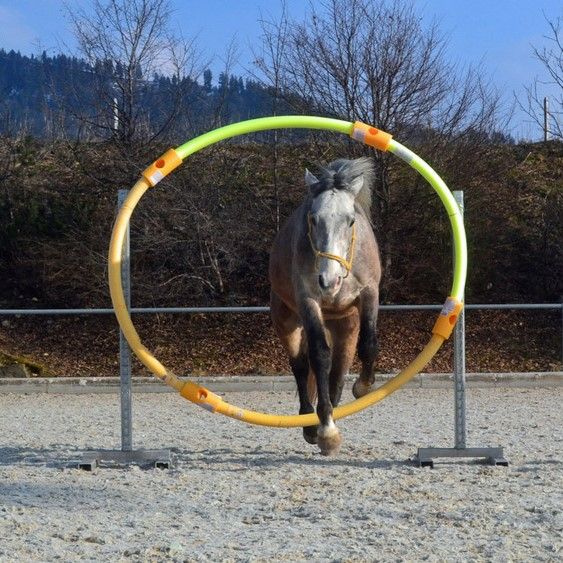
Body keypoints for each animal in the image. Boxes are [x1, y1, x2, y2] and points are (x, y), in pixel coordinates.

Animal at [270, 156, 384, 456]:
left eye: (351, 220)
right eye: (313, 218)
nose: (328, 281)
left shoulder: (370, 295)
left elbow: (369, 345)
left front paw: (363, 387)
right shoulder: (309, 303)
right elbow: (319, 357)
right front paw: (326, 431)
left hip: (345, 326)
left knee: (339, 370)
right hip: (287, 322)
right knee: (300, 366)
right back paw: (311, 423)